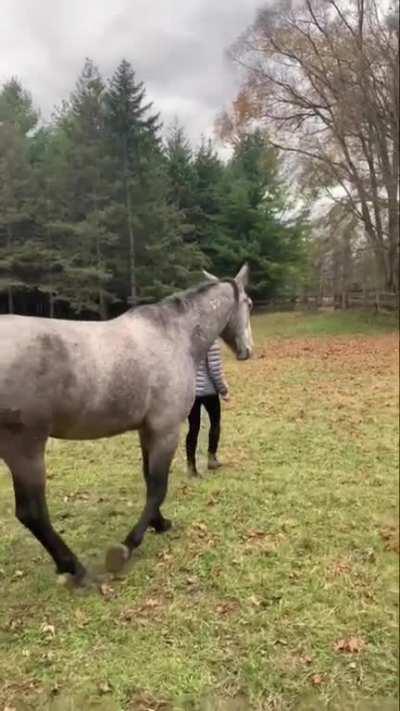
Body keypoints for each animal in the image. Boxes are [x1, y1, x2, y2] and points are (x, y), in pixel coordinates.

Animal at [0, 264, 253, 586]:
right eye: (249, 304)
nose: (248, 350)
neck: (174, 336)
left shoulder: (148, 430)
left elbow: (149, 480)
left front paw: (160, 523)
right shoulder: (166, 430)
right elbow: (158, 487)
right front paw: (127, 546)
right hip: (25, 449)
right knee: (32, 513)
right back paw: (74, 568)